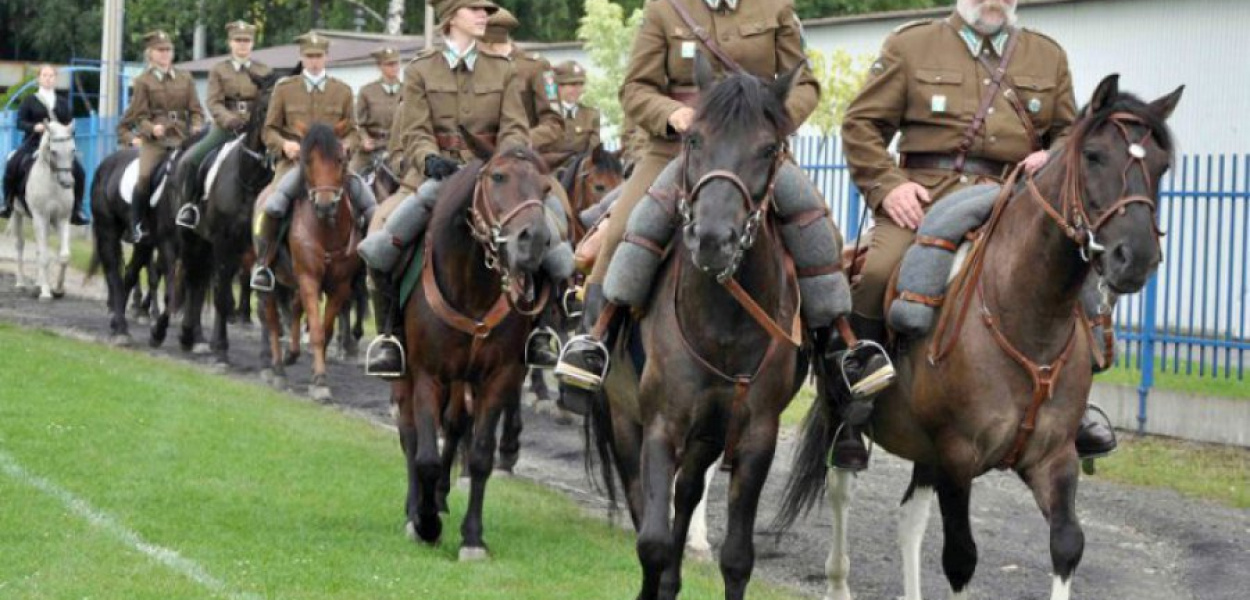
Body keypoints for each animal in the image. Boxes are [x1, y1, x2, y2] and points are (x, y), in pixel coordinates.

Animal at [11, 120, 75, 300]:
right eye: (54, 152)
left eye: (72, 150)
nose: (67, 183)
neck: (52, 183)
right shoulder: (40, 217)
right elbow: (45, 256)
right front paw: (46, 292)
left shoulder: (62, 219)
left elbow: (64, 256)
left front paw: (58, 289)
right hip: (17, 213)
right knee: (19, 245)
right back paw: (21, 284)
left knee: (40, 249)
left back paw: (38, 284)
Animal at [256, 121, 365, 400]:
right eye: (308, 160)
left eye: (340, 159)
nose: (325, 205)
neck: (325, 230)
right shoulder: (308, 278)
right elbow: (315, 330)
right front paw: (320, 382)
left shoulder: (339, 286)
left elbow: (324, 330)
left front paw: (317, 372)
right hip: (270, 279)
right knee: (272, 319)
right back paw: (278, 368)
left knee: (294, 308)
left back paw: (292, 354)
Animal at [387, 143, 550, 560]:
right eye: (498, 177)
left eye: (545, 187)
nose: (534, 239)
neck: (473, 285)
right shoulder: (427, 373)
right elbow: (426, 456)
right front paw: (426, 523)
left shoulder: (498, 377)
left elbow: (479, 457)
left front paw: (472, 537)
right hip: (406, 375)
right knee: (410, 435)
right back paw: (415, 508)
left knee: (455, 424)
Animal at [582, 63, 805, 597]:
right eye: (694, 139)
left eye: (769, 148)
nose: (712, 240)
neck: (723, 324)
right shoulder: (661, 425)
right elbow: (652, 542)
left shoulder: (756, 437)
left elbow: (737, 558)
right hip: (626, 422)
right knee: (645, 506)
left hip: (708, 437)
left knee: (686, 495)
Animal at [775, 75, 1185, 600]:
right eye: (1094, 155)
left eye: (1161, 165)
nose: (1135, 257)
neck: (1026, 318)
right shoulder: (957, 458)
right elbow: (961, 558)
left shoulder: (1053, 457)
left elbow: (1067, 543)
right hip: (845, 419)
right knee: (841, 487)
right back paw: (838, 581)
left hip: (924, 452)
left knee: (909, 519)